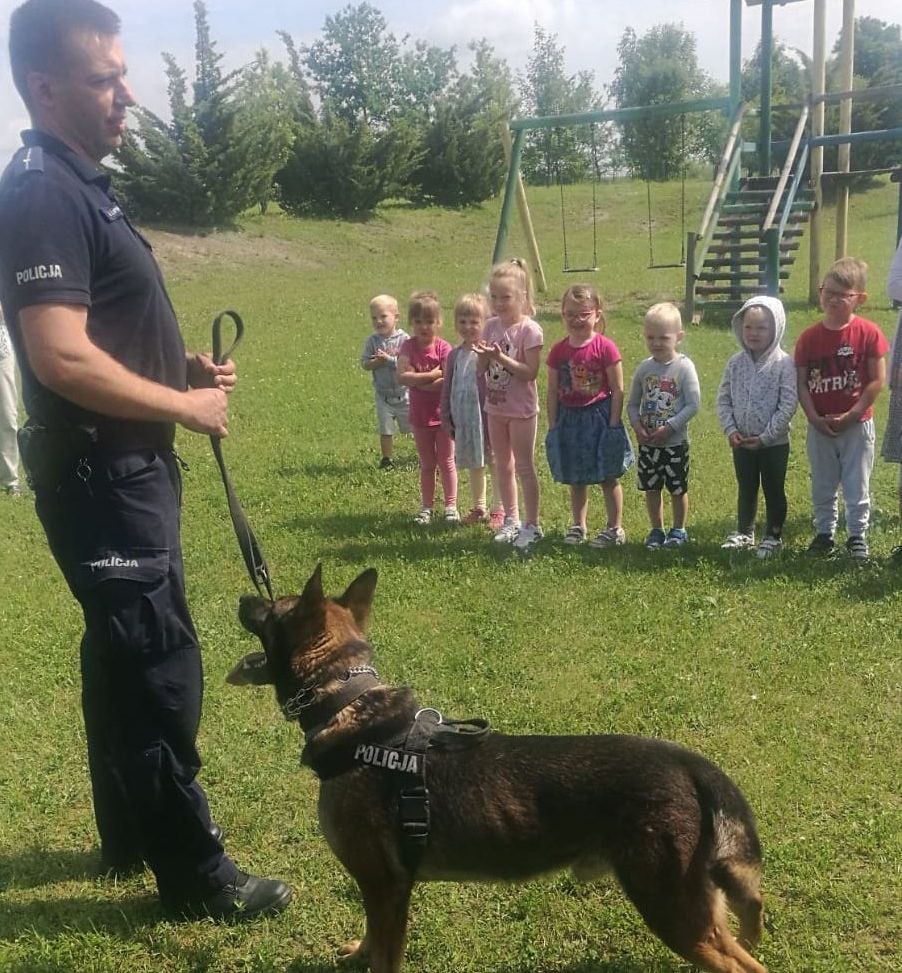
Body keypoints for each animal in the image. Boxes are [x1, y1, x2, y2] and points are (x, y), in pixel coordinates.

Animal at [230, 560, 768, 972]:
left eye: (272, 610)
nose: (241, 596)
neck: (350, 707)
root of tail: (688, 763)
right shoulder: (379, 889)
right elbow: (372, 940)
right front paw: (358, 954)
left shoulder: (387, 887)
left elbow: (386, 953)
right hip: (696, 911)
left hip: (671, 908)